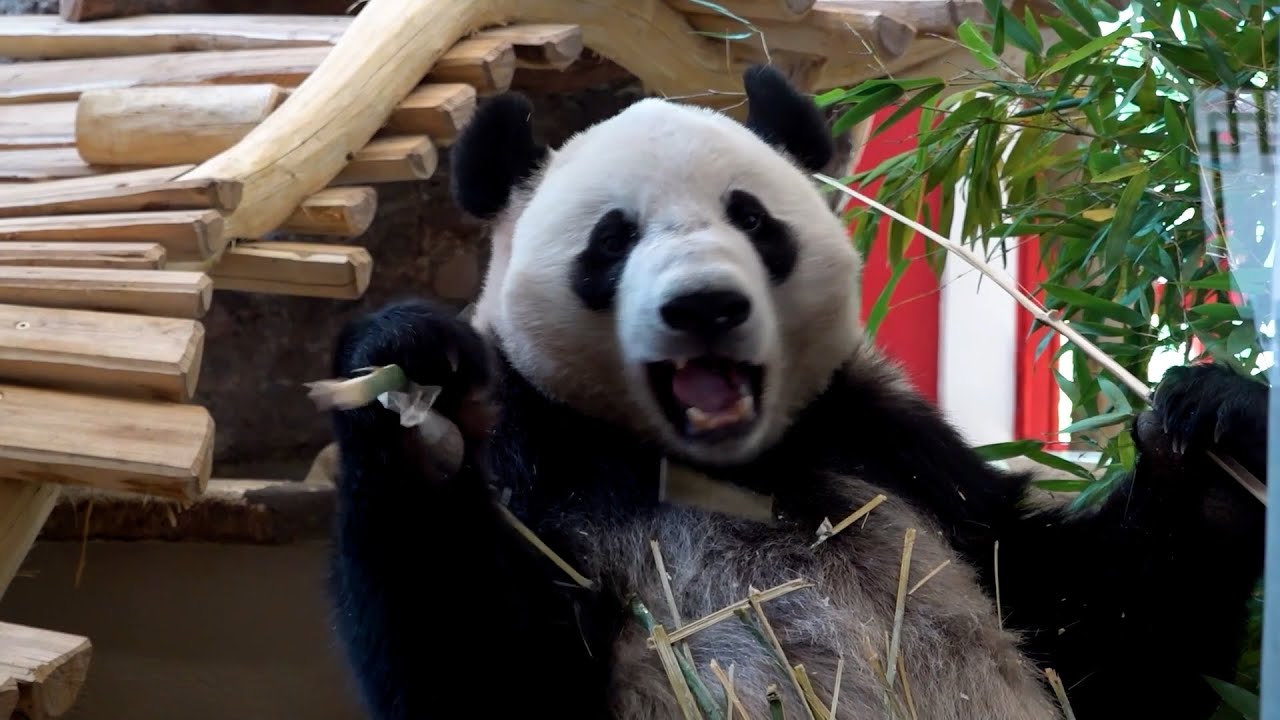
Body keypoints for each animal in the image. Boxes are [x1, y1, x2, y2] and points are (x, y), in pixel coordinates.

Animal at [326, 64, 1269, 720]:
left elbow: (1083, 621)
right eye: (612, 240)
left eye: (750, 217)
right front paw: (414, 397)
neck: (720, 468)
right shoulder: (544, 467)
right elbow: (485, 666)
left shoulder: (886, 443)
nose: (704, 305)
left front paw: (1215, 437)